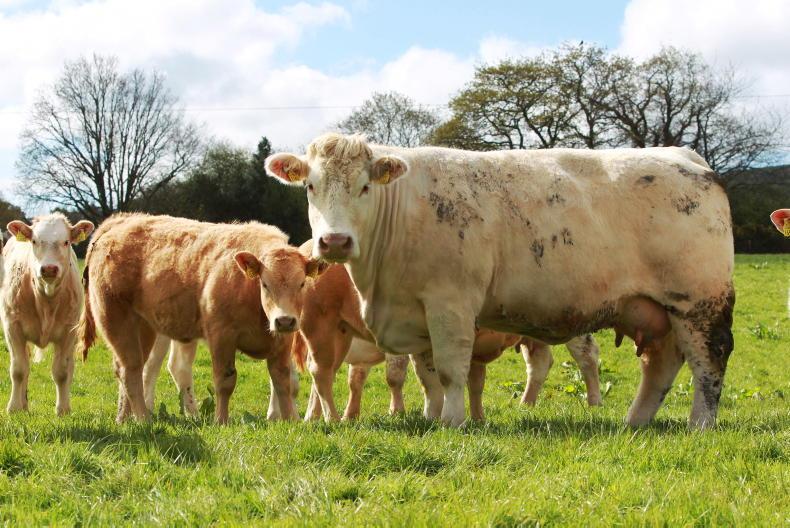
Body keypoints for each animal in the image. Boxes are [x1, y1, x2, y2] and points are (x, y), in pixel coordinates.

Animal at [1, 214, 94, 415]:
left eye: (66, 242)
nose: (49, 269)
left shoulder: (68, 331)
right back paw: (23, 404)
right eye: (34, 241)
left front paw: (63, 409)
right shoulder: (12, 327)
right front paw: (14, 407)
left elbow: (62, 372)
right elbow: (18, 370)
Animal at [78, 214, 306, 424]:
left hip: (144, 328)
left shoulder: (283, 342)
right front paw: (221, 421)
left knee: (130, 368)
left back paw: (124, 418)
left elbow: (283, 381)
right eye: (265, 284)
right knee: (130, 370)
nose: (284, 320)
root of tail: (121, 221)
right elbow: (225, 380)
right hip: (116, 320)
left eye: (302, 283)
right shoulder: (221, 336)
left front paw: (290, 421)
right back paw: (144, 419)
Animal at [265, 133, 734, 429]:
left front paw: (452, 422)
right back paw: (634, 422)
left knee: (707, 363)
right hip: (657, 311)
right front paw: (431, 416)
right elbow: (428, 375)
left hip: (698, 304)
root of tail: (683, 157)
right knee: (661, 364)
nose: (335, 241)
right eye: (310, 186)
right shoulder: (418, 312)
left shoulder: (450, 304)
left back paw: (699, 425)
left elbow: (451, 370)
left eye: (365, 186)